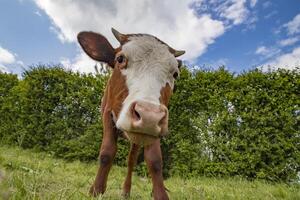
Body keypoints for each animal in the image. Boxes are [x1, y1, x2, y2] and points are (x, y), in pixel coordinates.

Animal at [77, 27, 185, 198]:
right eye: (120, 59)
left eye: (175, 74)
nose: (148, 115)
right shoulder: (107, 114)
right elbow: (107, 152)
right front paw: (96, 190)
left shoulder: (155, 127)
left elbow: (155, 160)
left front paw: (160, 194)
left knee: (131, 160)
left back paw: (126, 191)